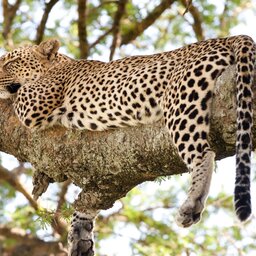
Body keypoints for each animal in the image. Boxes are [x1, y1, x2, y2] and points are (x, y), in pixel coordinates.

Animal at [0, 36, 255, 256]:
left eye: (11, 62)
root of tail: (229, 37)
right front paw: (79, 235)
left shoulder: (34, 101)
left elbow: (18, 93)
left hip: (182, 99)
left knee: (203, 153)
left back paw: (192, 204)